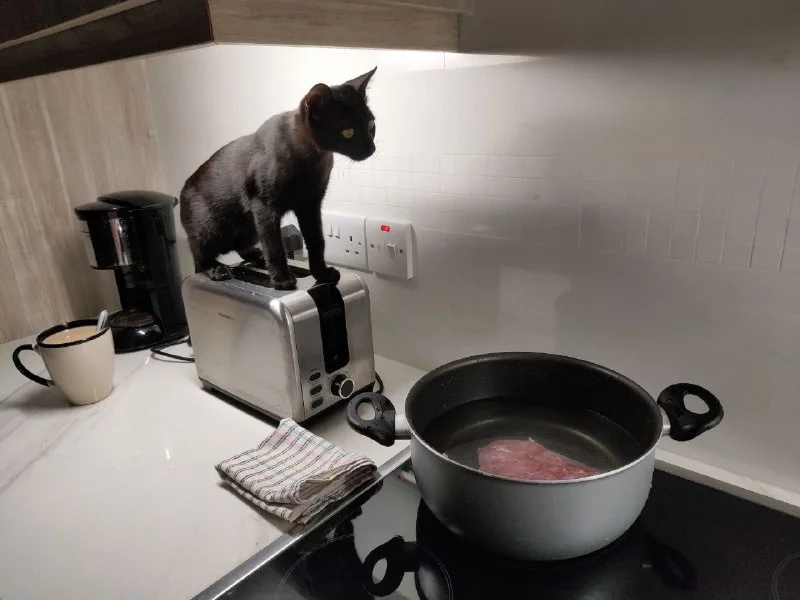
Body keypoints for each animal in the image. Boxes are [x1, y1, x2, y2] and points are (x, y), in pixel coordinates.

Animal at [179, 67, 377, 290]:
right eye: (348, 132)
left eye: (371, 125)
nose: (371, 148)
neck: (312, 159)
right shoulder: (264, 208)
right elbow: (274, 245)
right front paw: (281, 279)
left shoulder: (310, 205)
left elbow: (317, 241)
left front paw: (322, 274)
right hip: (211, 229)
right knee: (199, 256)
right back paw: (216, 269)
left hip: (249, 227)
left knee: (241, 245)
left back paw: (254, 255)